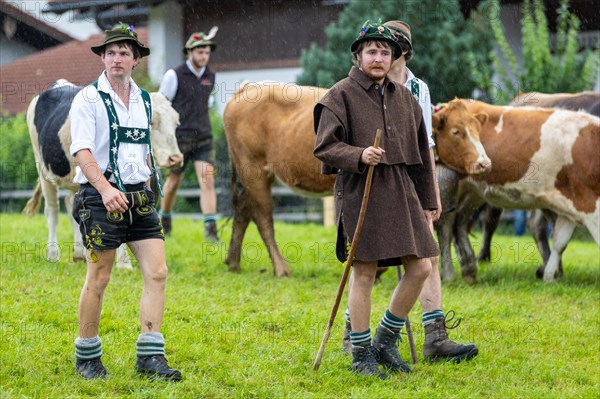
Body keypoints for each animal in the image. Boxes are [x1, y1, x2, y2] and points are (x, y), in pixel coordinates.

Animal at [22, 80, 183, 268]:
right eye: (153, 123)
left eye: (176, 123)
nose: (176, 158)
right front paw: (124, 264)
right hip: (43, 169)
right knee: (52, 211)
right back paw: (53, 254)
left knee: (70, 203)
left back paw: (79, 253)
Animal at [223, 83, 490, 278]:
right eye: (457, 131)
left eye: (478, 129)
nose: (485, 162)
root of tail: (247, 88)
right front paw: (377, 268)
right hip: (254, 169)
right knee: (263, 216)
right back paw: (280, 267)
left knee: (243, 210)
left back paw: (233, 262)